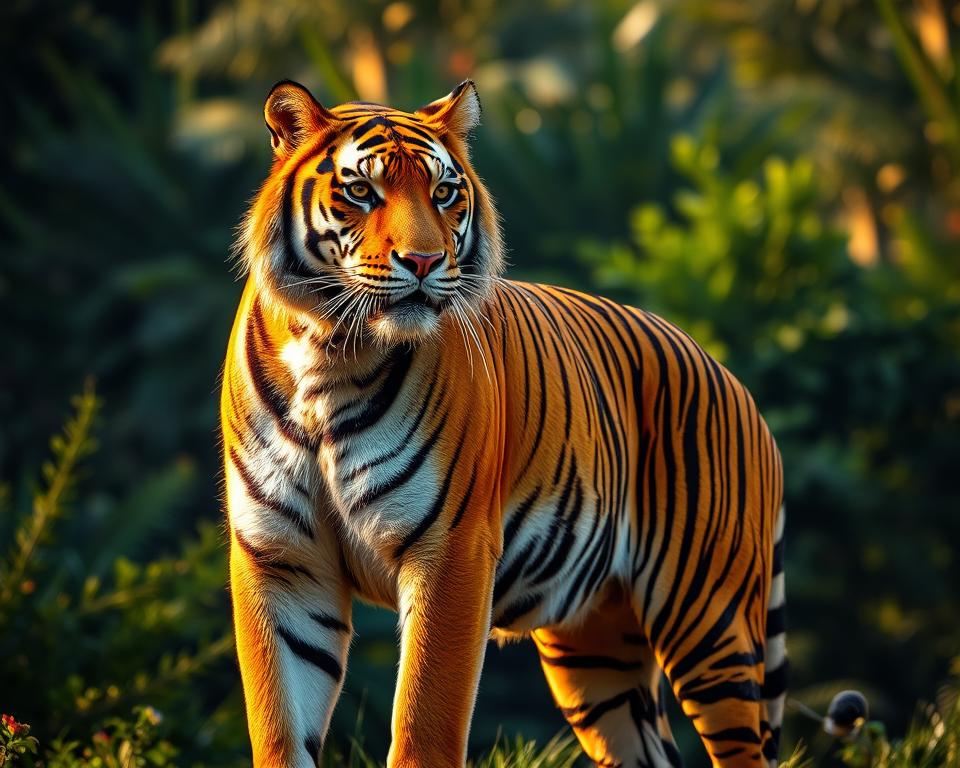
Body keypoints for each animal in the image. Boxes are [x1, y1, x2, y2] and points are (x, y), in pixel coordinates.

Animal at [220, 79, 789, 768]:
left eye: (443, 193)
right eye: (361, 190)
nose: (423, 261)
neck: (330, 351)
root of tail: (737, 385)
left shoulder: (450, 550)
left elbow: (424, 723)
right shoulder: (279, 559)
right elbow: (280, 724)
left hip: (709, 616)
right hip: (596, 651)